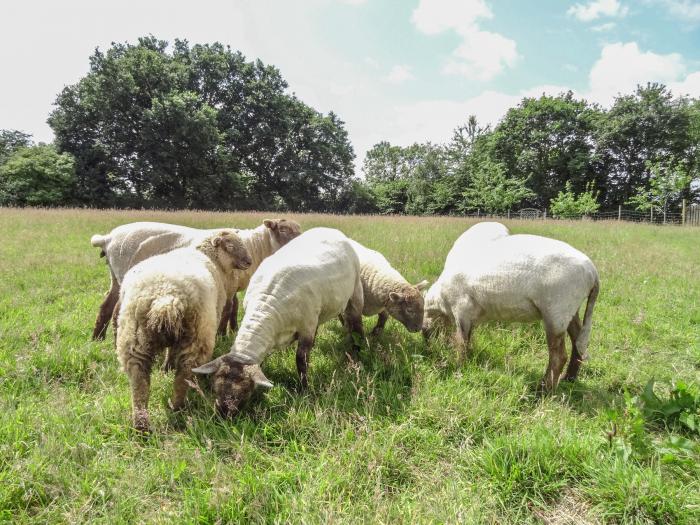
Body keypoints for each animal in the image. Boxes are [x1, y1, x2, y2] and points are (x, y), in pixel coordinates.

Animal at [89, 218, 300, 338]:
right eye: (283, 230)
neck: (255, 246)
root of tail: (108, 238)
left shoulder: (232, 285)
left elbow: (234, 308)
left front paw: (232, 330)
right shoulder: (227, 283)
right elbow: (227, 309)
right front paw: (222, 335)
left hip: (115, 276)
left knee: (106, 306)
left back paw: (97, 339)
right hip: (125, 274)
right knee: (117, 309)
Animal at [116, 229, 253, 430]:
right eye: (230, 245)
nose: (249, 262)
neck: (211, 258)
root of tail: (166, 296)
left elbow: (169, 352)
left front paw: (166, 367)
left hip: (133, 338)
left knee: (139, 380)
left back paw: (141, 424)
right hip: (197, 335)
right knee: (184, 374)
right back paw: (178, 407)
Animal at [193, 227, 364, 416]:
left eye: (245, 389)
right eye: (214, 385)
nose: (223, 413)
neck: (266, 305)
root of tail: (330, 229)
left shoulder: (306, 326)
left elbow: (301, 360)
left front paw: (304, 390)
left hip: (355, 290)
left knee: (356, 322)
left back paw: (358, 351)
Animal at [424, 220, 600, 388]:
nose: (427, 343)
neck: (440, 300)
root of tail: (593, 272)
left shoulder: (461, 309)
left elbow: (461, 343)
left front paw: (459, 368)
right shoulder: (469, 316)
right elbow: (468, 340)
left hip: (556, 311)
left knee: (559, 356)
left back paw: (543, 390)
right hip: (571, 310)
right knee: (578, 342)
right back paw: (568, 378)